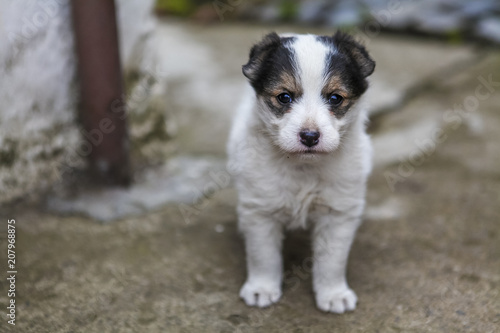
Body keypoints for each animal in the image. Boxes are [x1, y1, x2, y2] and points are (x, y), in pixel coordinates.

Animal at [228, 30, 376, 312]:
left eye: (335, 98)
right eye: (284, 97)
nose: (309, 136)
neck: (303, 166)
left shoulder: (338, 213)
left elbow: (332, 260)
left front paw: (333, 294)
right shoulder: (260, 211)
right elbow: (263, 255)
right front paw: (262, 289)